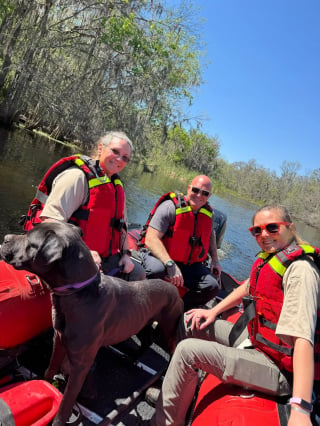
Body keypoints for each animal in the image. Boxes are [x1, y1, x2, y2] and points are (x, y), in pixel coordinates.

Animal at [0, 223, 184, 426]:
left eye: (30, 239)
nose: (5, 238)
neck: (77, 291)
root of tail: (174, 289)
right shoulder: (59, 339)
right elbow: (51, 367)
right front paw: (45, 382)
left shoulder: (80, 365)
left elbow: (66, 401)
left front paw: (59, 419)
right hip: (141, 322)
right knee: (146, 341)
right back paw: (132, 357)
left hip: (169, 327)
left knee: (173, 347)